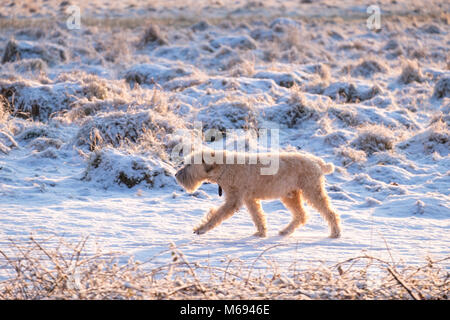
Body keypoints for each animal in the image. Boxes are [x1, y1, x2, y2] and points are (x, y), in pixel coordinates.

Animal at [175, 149, 342, 238]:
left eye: (189, 164)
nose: (176, 175)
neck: (224, 167)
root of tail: (317, 162)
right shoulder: (250, 198)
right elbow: (257, 216)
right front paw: (261, 232)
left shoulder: (234, 200)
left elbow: (216, 215)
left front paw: (201, 228)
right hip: (290, 194)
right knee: (301, 215)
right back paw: (285, 230)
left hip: (312, 190)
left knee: (330, 212)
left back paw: (335, 233)